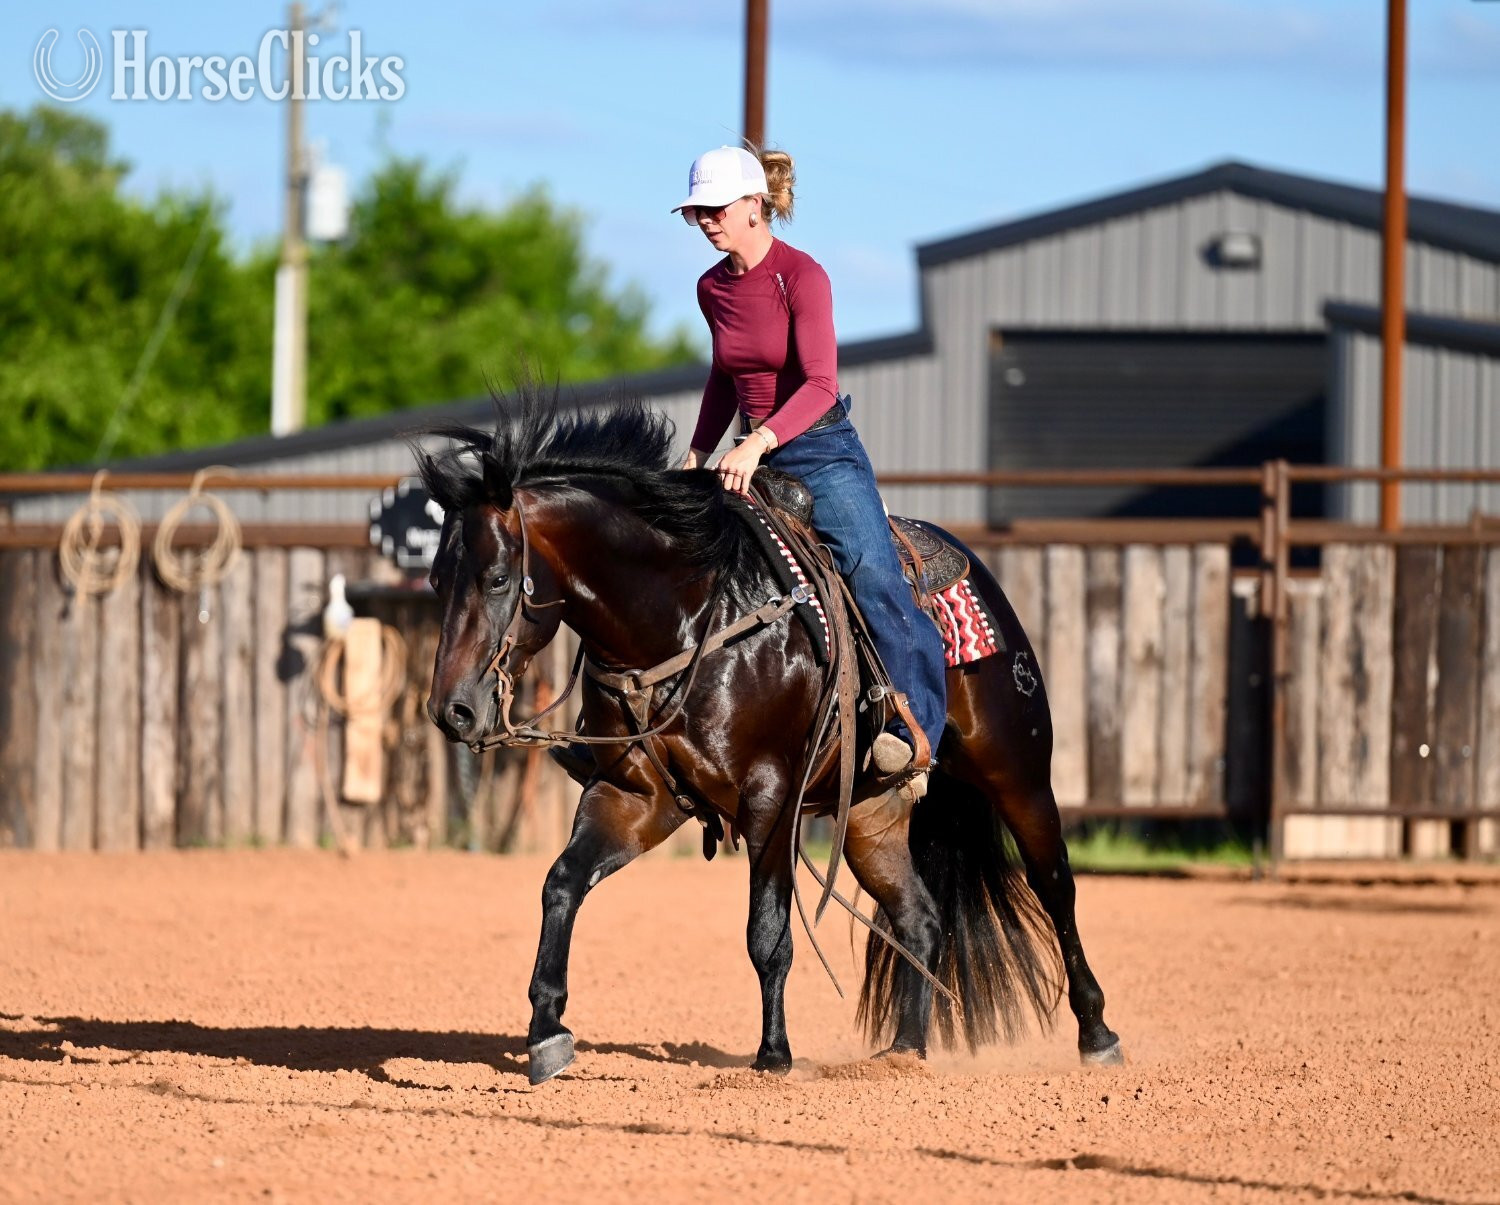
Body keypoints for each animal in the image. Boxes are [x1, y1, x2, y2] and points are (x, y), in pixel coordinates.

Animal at [417, 395, 1123, 1084]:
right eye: (436, 580)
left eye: (497, 579)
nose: (453, 711)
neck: (690, 616)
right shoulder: (632, 797)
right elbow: (561, 883)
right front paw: (546, 1034)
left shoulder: (771, 798)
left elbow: (768, 932)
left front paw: (773, 1057)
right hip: (869, 813)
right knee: (921, 919)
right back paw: (903, 1053)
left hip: (1017, 772)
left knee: (1055, 884)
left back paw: (1098, 1036)